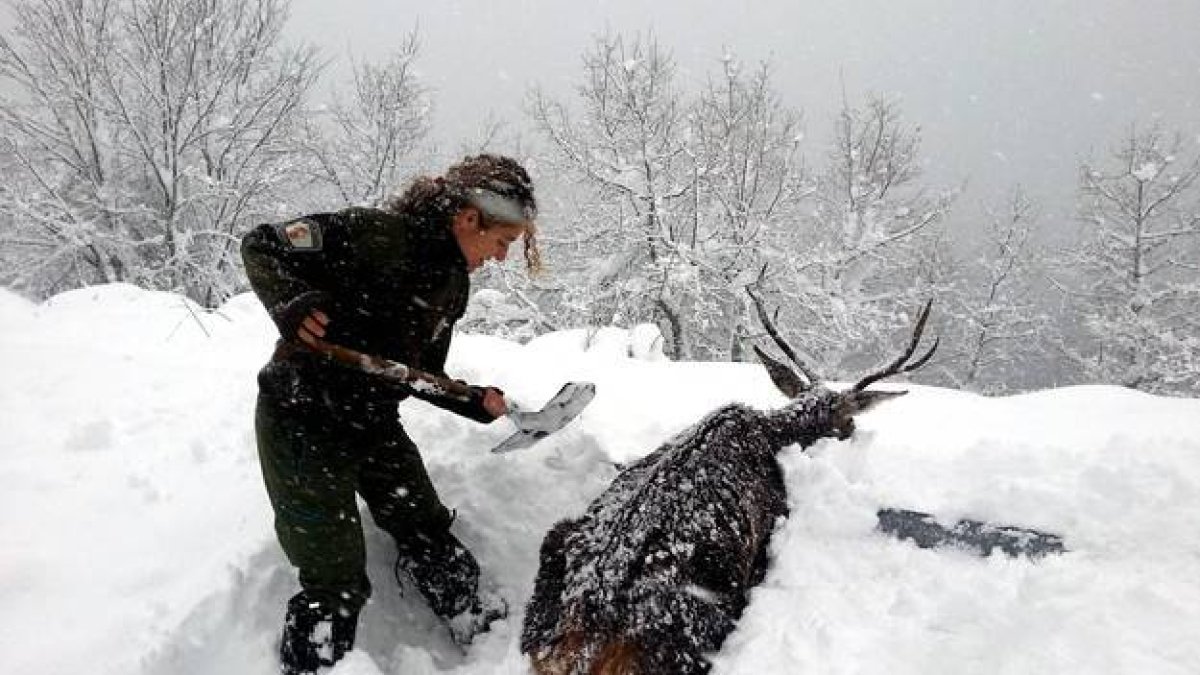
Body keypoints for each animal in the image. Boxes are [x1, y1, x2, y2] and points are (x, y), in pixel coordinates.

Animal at [516, 294, 936, 672]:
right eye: (848, 423)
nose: (852, 434)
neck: (774, 434)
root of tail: (585, 627)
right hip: (703, 620)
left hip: (551, 561)